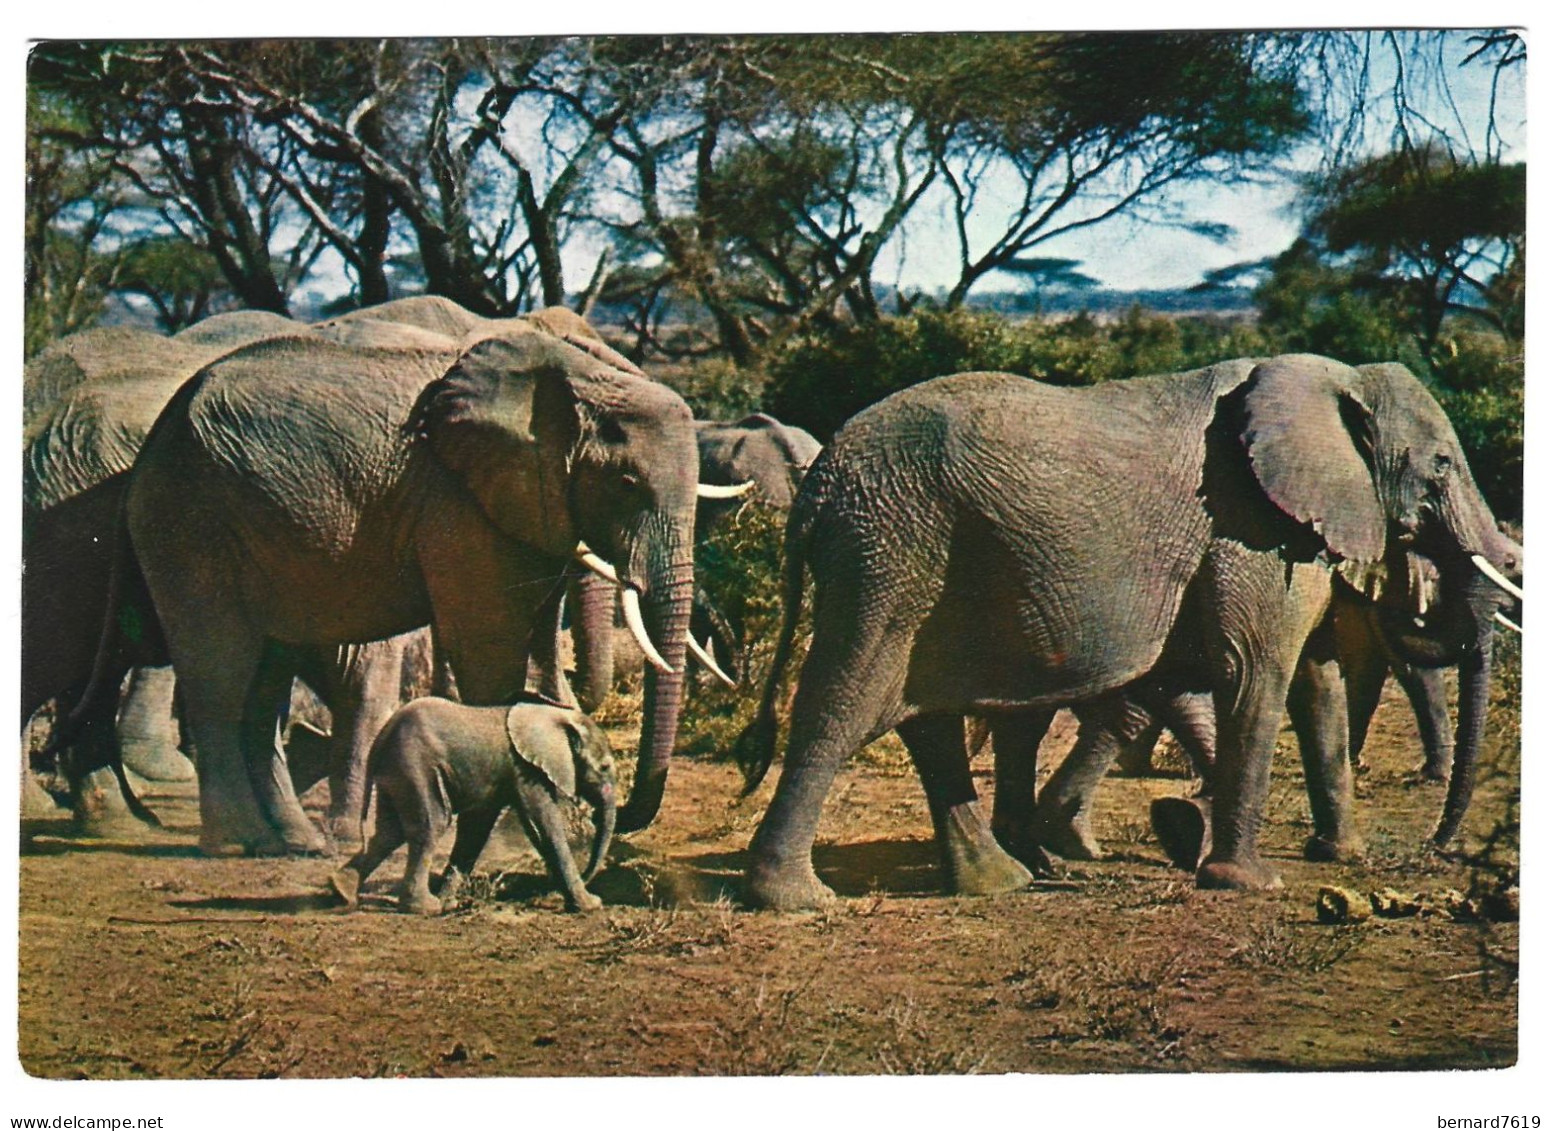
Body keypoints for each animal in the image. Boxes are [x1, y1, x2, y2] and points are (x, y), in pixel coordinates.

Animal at [114, 323, 703, 842]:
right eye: (626, 483)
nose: (624, 818)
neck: (578, 377)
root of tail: (166, 420)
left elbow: (537, 656)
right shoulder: (457, 502)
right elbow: (490, 652)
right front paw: (514, 831)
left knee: (264, 683)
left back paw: (293, 843)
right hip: (190, 517)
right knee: (220, 674)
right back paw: (239, 840)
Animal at [328, 690, 616, 910]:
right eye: (604, 767)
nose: (589, 876)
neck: (556, 716)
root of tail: (381, 737)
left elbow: (476, 830)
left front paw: (450, 900)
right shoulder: (526, 770)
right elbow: (545, 827)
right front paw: (591, 905)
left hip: (396, 773)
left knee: (390, 832)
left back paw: (341, 890)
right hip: (414, 766)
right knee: (430, 826)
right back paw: (425, 908)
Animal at [731, 353, 1519, 904]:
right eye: (1441, 467)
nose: (1441, 843)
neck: (1333, 379)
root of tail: (817, 482)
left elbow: (1314, 682)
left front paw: (1336, 856)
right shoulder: (1247, 527)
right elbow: (1254, 672)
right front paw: (1249, 882)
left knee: (930, 718)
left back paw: (1004, 880)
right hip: (888, 550)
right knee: (847, 705)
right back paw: (797, 898)